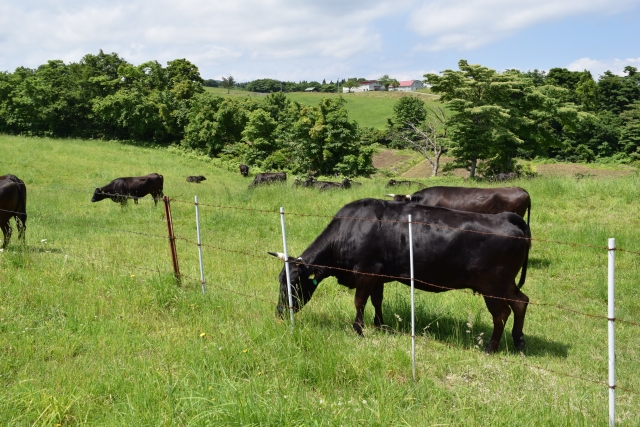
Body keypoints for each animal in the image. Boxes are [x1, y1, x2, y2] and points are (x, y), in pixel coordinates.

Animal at [268, 201, 528, 354]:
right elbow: (376, 301)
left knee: (502, 313)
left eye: (293, 283)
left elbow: (359, 301)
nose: (280, 312)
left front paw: (359, 330)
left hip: (493, 286)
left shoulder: (366, 272)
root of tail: (505, 217)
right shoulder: (378, 276)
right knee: (520, 302)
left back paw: (491, 347)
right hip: (506, 284)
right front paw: (380, 325)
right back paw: (518, 340)